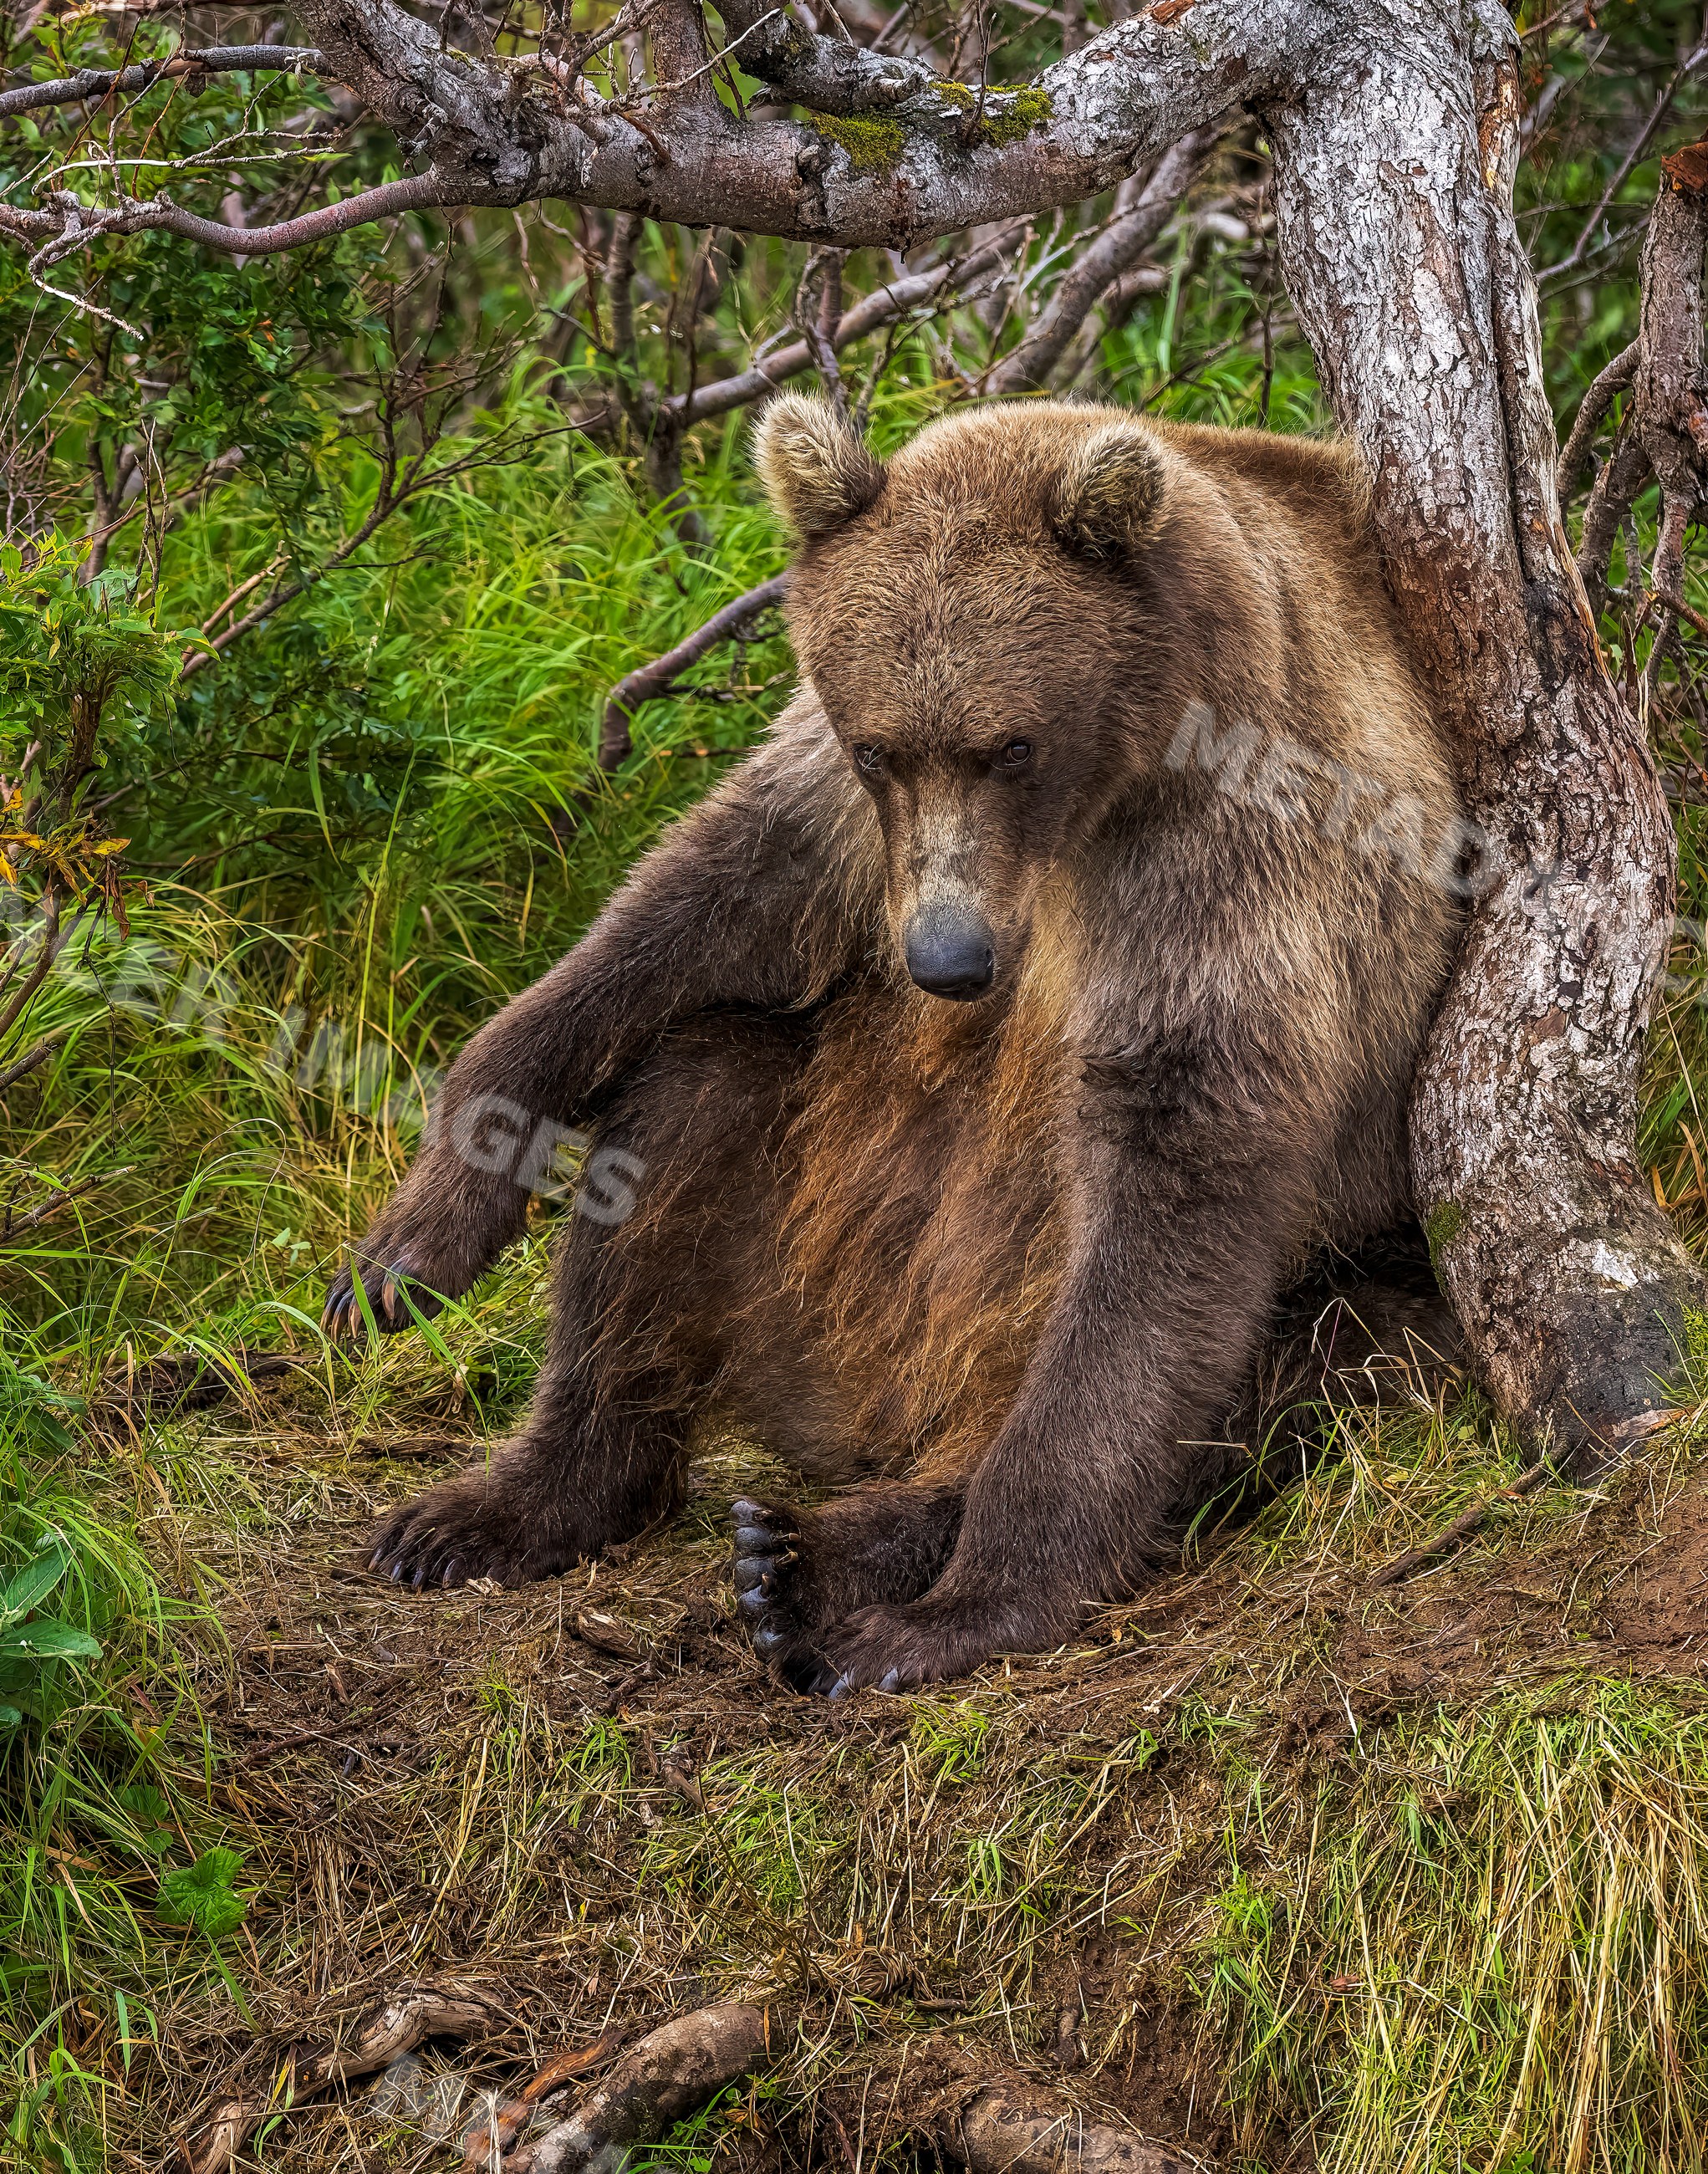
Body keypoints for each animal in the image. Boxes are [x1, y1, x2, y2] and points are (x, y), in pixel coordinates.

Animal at [326, 395, 1463, 1695]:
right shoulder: (835, 802)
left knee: (1270, 1373)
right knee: (686, 1111)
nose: (946, 961)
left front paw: (966, 1605)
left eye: (1011, 745)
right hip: (816, 1219)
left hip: (1345, 1261)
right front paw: (404, 1252)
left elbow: (1172, 1183)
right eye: (883, 748)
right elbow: (702, 907)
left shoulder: (1229, 854)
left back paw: (813, 1565)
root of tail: (883, 1408)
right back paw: (509, 1503)